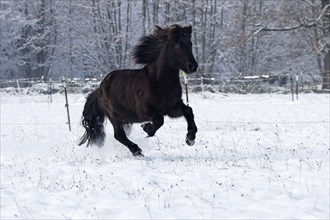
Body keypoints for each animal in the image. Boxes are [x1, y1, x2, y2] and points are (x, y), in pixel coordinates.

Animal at [79, 24, 199, 156]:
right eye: (177, 44)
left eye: (190, 43)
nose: (193, 66)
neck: (159, 83)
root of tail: (100, 88)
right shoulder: (143, 111)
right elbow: (159, 119)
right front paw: (146, 127)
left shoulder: (172, 108)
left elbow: (188, 110)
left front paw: (190, 138)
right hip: (113, 115)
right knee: (119, 135)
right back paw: (136, 150)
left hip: (125, 119)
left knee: (123, 134)